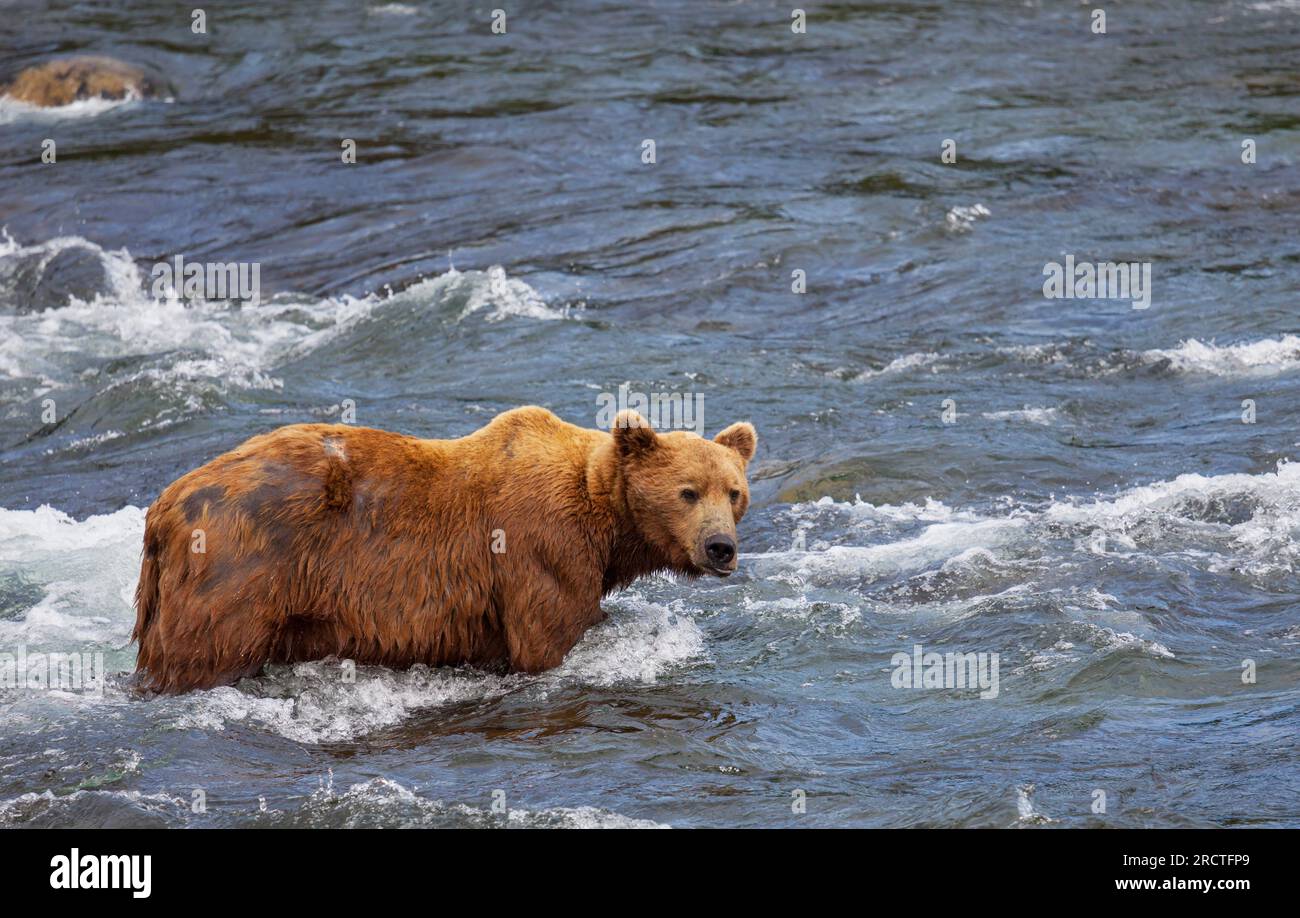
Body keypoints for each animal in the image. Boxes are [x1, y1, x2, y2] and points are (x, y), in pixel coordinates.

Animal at [133, 403, 759, 691]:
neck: (605, 522)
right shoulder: (542, 550)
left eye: (734, 491)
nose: (721, 547)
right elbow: (548, 638)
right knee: (206, 652)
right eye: (687, 491)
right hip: (240, 570)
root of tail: (164, 506)